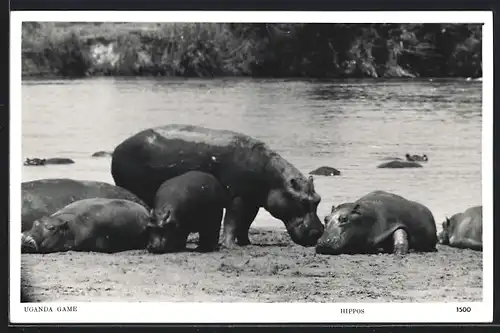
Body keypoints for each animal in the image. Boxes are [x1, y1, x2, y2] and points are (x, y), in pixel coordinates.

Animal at [110, 124, 324, 246]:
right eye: (302, 201)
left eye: (317, 199)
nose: (318, 232)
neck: (274, 179)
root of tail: (117, 148)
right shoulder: (237, 197)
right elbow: (232, 221)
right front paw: (230, 245)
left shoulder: (253, 201)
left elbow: (246, 223)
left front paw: (246, 243)